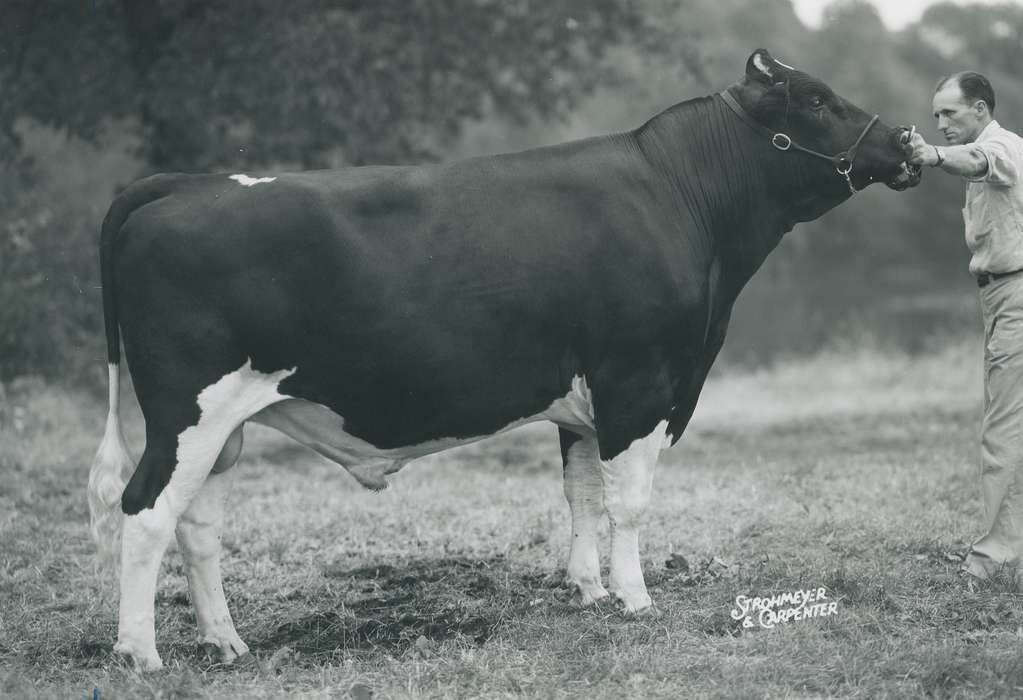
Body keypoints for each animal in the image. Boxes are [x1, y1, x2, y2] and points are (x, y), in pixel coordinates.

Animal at [88, 49, 920, 670]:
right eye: (814, 99)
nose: (904, 144)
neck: (682, 200)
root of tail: (184, 185)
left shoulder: (584, 401)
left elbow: (579, 495)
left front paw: (588, 591)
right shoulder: (639, 382)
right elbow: (627, 502)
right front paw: (635, 598)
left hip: (223, 427)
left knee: (196, 525)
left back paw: (225, 642)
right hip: (187, 410)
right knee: (146, 511)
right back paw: (141, 655)